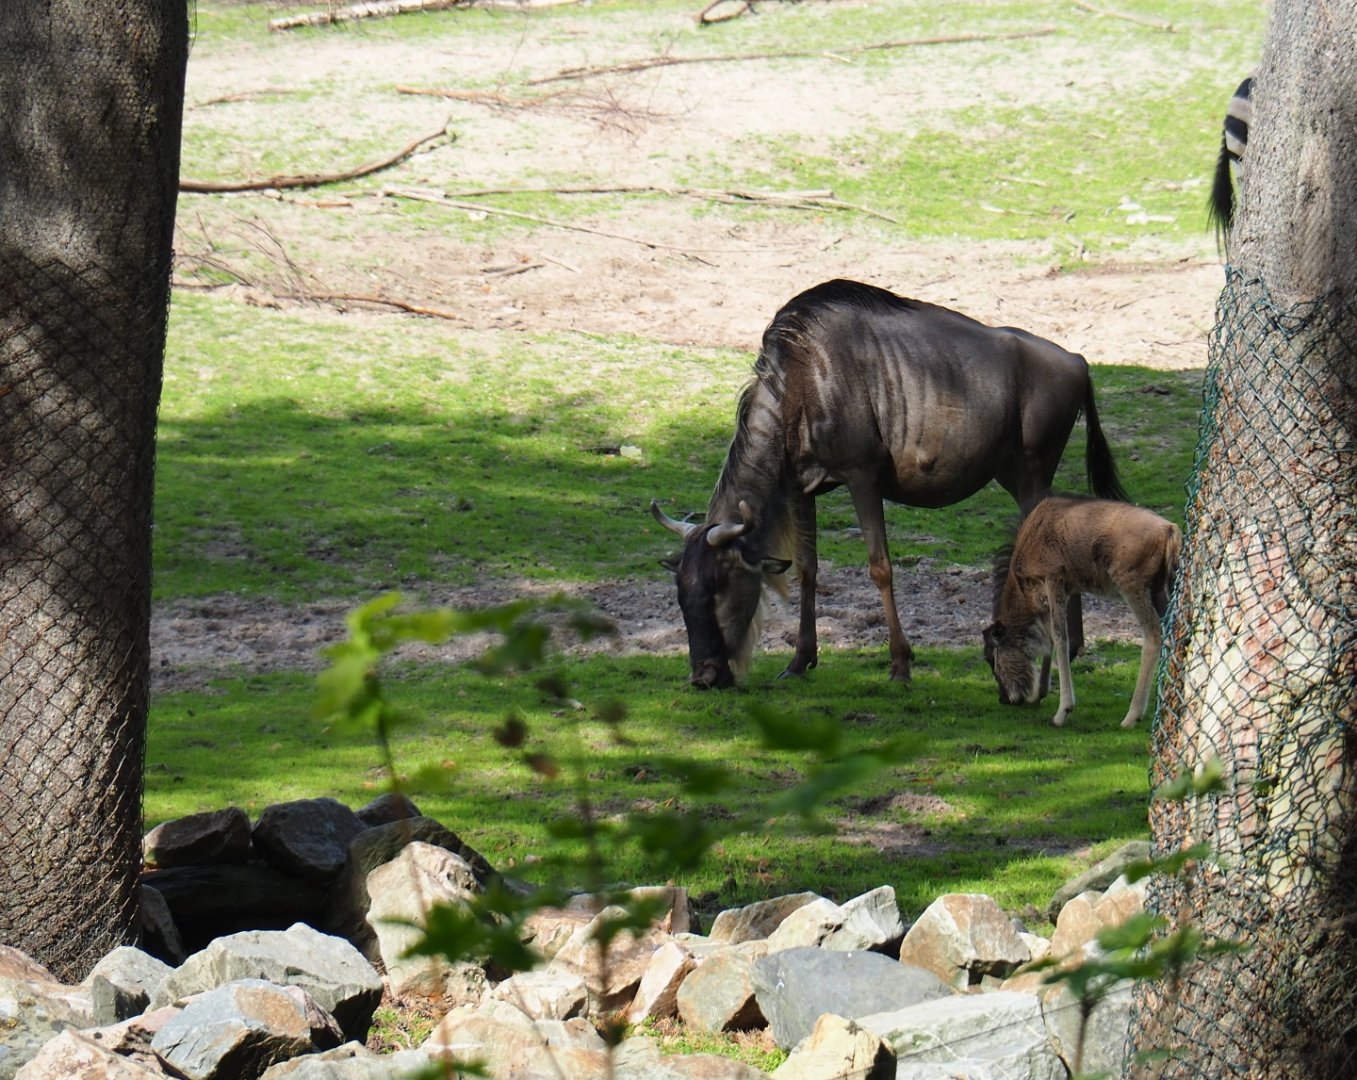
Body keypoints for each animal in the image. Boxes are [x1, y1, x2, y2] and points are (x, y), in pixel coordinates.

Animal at [651, 279, 1127, 689]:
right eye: (681, 594)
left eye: (721, 586)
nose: (704, 676)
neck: (802, 383)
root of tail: (1079, 362)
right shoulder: (801, 488)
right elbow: (808, 569)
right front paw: (800, 660)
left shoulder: (862, 476)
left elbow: (880, 566)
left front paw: (900, 663)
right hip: (1012, 475)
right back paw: (1069, 647)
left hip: (1031, 473)